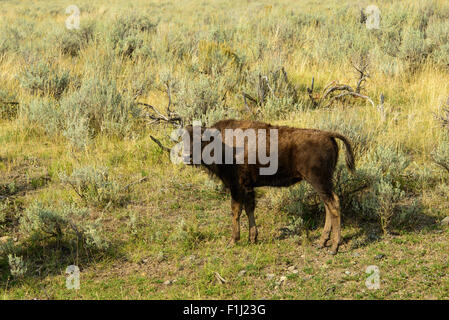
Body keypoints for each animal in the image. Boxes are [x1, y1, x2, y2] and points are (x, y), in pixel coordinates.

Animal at [179, 119, 354, 254]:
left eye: (200, 140)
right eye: (183, 140)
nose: (187, 157)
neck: (221, 142)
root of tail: (327, 134)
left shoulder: (236, 186)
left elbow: (236, 211)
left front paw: (233, 240)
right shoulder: (248, 187)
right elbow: (249, 208)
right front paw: (253, 238)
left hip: (319, 181)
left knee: (333, 204)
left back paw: (334, 247)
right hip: (322, 183)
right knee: (328, 206)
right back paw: (322, 242)